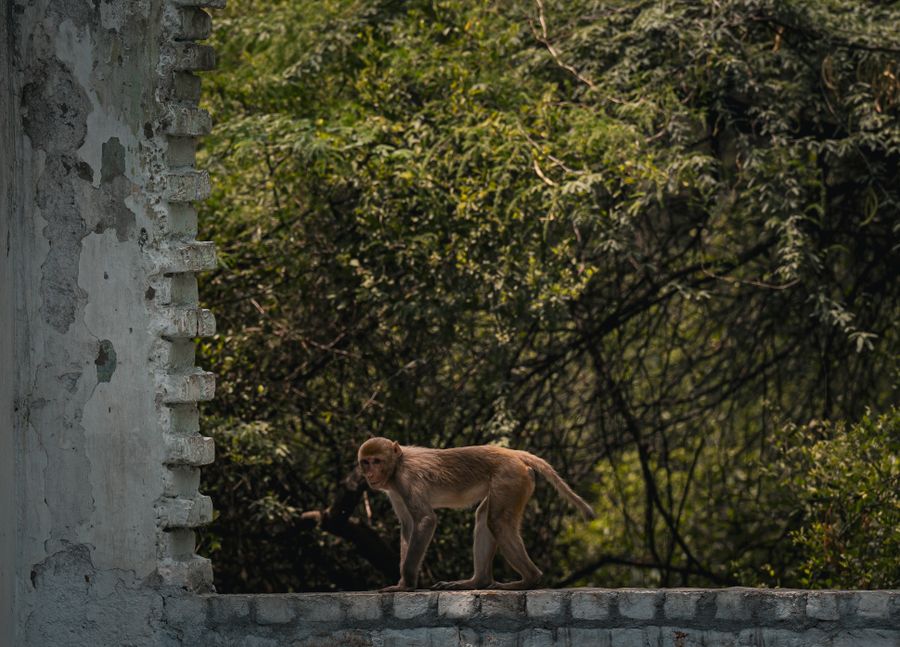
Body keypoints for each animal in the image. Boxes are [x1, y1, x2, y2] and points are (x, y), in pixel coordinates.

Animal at [357, 437, 595, 592]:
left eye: (376, 461)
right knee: (484, 517)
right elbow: (408, 525)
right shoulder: (395, 491)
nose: (370, 473)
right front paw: (402, 582)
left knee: (496, 521)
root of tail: (512, 453)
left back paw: (529, 579)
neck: (397, 466)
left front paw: (406, 585)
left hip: (510, 478)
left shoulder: (406, 480)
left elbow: (425, 521)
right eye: (365, 462)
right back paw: (477, 582)